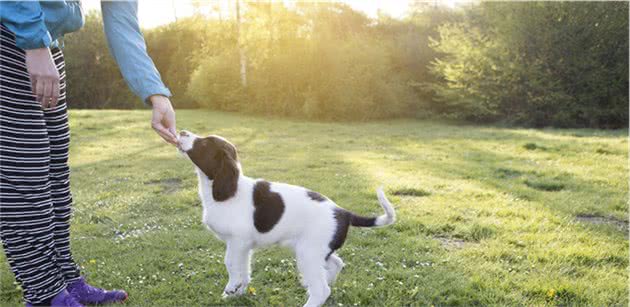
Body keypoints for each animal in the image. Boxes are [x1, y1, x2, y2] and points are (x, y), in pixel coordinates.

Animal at [177, 131, 396, 306]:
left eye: (205, 144)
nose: (181, 132)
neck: (229, 189)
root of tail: (343, 212)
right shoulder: (244, 246)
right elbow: (244, 270)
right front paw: (237, 293)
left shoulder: (237, 241)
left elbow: (230, 264)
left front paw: (232, 287)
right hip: (317, 250)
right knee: (336, 264)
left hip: (308, 253)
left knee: (322, 289)